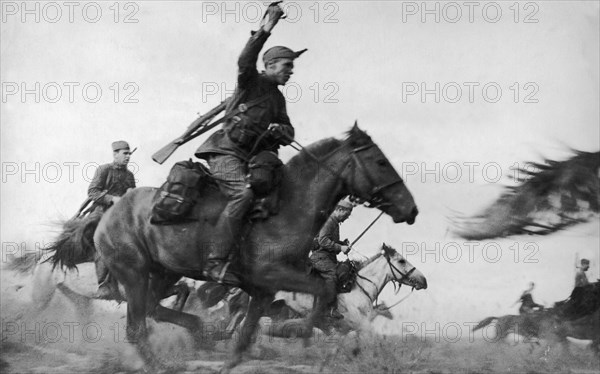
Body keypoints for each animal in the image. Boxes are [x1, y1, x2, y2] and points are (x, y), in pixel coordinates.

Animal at [51, 125, 418, 372]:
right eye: (380, 162)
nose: (411, 209)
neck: (287, 209)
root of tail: (108, 215)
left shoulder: (263, 290)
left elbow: (244, 339)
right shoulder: (273, 277)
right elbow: (324, 291)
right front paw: (294, 332)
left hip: (164, 273)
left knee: (156, 310)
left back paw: (201, 331)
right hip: (134, 274)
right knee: (136, 327)